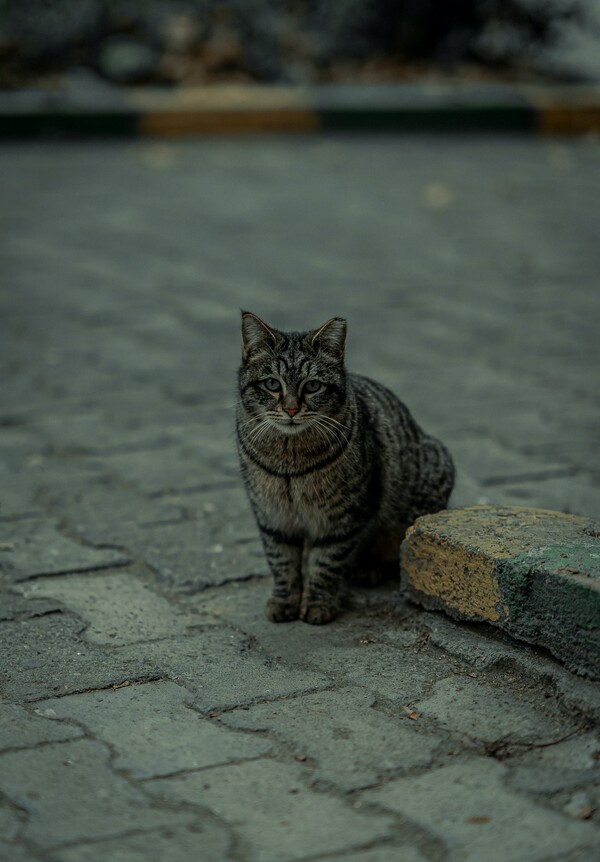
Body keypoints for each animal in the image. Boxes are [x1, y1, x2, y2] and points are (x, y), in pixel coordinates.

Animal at [237, 314, 452, 624]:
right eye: (272, 384)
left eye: (312, 386)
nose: (291, 410)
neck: (289, 460)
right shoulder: (273, 517)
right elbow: (282, 561)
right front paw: (284, 600)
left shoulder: (343, 519)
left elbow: (326, 563)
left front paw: (317, 604)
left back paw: (366, 569)